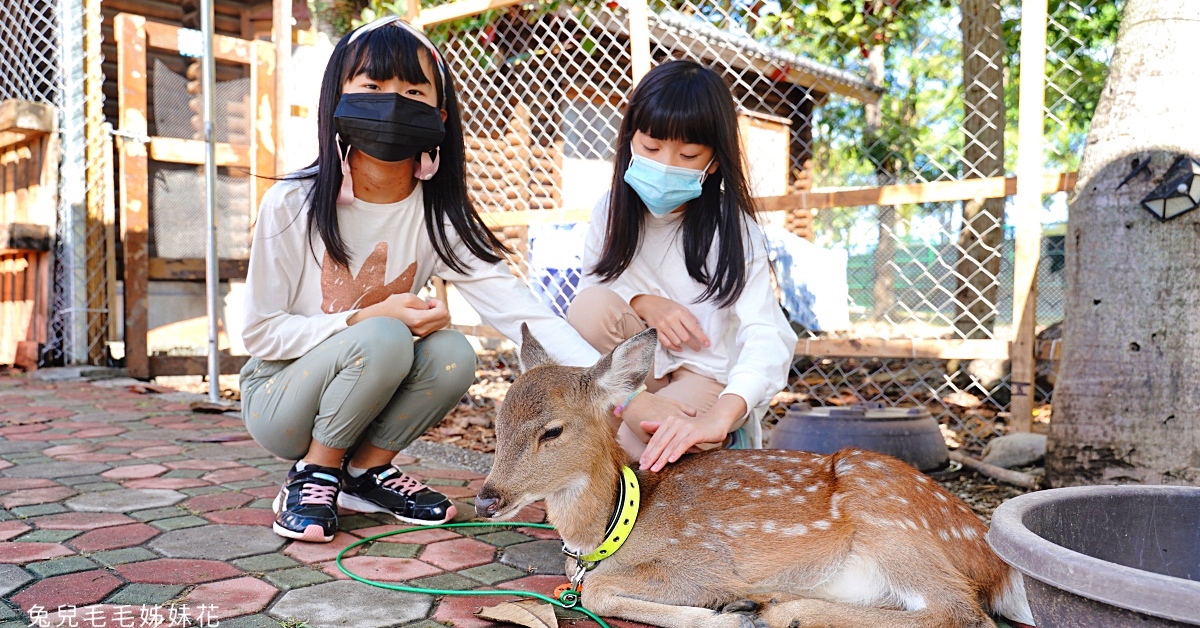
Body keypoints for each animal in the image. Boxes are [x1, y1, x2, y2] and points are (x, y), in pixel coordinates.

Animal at [472, 326, 1036, 628]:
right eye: (496, 422)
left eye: (552, 431)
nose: (486, 499)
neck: (612, 531)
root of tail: (995, 558)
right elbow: (595, 589)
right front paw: (731, 609)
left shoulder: (703, 562)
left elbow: (598, 592)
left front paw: (725, 611)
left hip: (891, 519)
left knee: (962, 612)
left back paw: (783, 609)